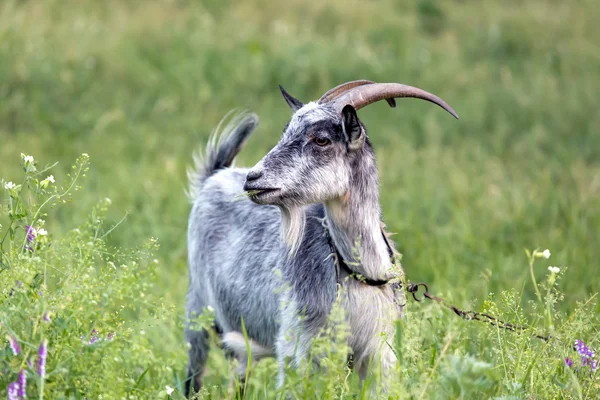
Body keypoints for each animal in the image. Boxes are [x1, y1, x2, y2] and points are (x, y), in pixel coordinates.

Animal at [185, 79, 458, 396]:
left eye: (322, 140)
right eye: (286, 133)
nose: (253, 179)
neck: (361, 271)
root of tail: (215, 175)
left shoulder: (378, 353)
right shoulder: (299, 346)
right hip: (198, 311)